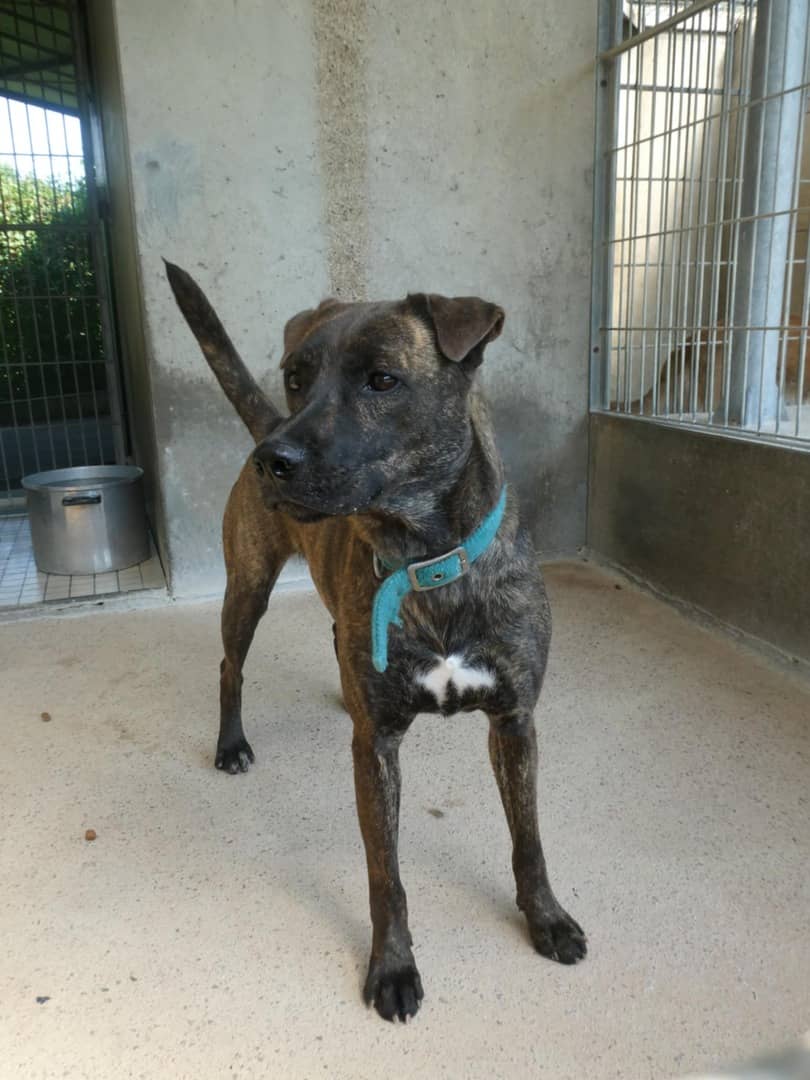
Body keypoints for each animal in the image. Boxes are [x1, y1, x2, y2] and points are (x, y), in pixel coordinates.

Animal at [165, 261, 587, 1021]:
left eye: (383, 380)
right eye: (295, 376)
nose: (272, 459)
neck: (427, 560)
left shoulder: (515, 722)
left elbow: (529, 839)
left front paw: (546, 919)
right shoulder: (378, 750)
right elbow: (384, 873)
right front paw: (392, 967)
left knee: (336, 635)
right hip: (248, 585)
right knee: (229, 666)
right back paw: (231, 743)